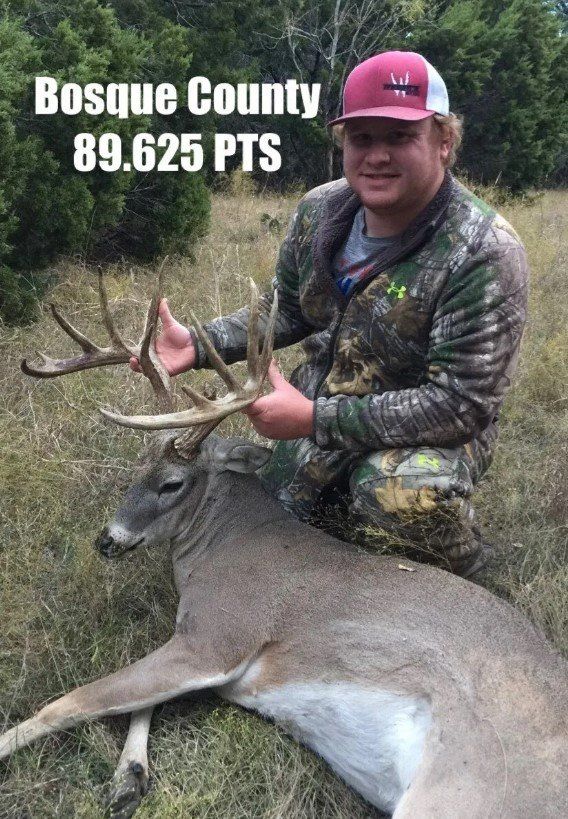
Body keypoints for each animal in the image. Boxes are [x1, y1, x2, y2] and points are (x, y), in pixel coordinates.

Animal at [2, 266, 567, 819]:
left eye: (172, 484)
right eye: (136, 467)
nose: (107, 539)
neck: (218, 548)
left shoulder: (221, 634)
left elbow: (71, 701)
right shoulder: (199, 644)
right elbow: (138, 701)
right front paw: (130, 777)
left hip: (461, 790)